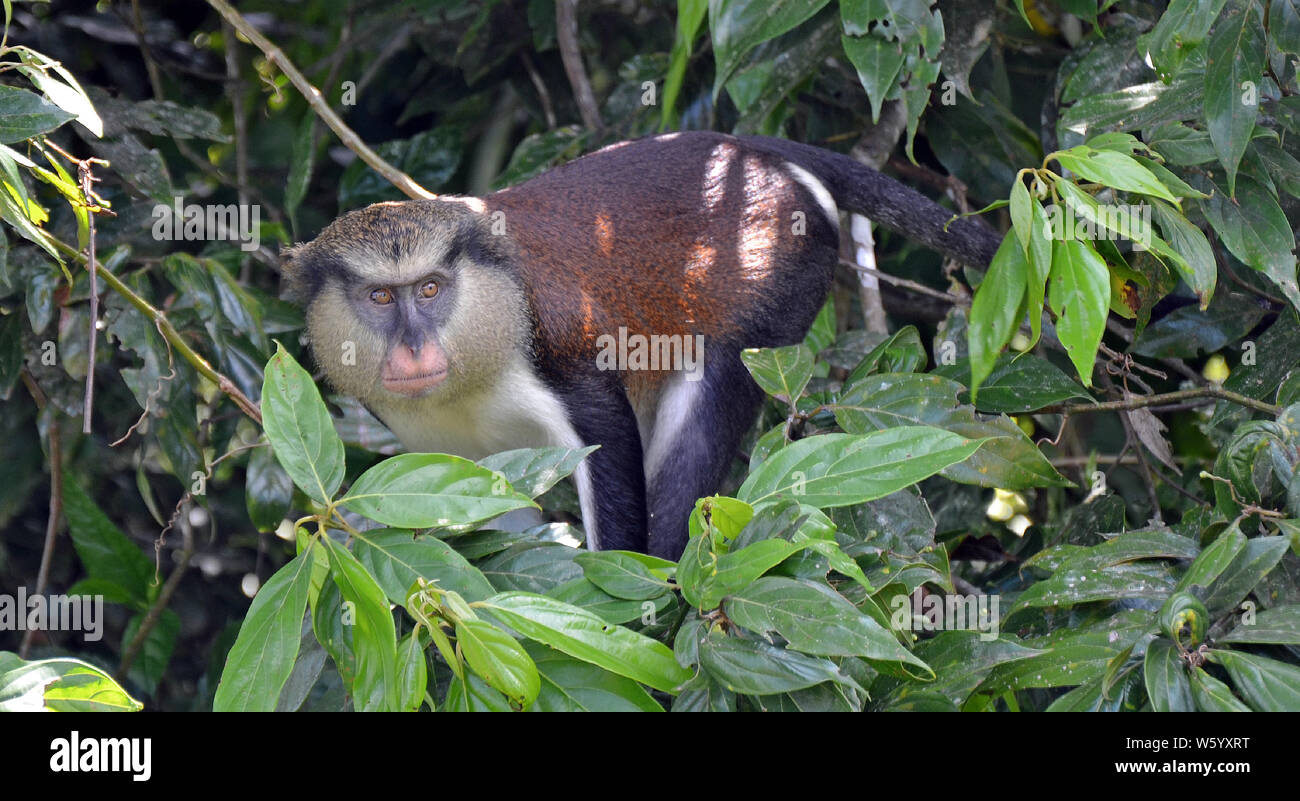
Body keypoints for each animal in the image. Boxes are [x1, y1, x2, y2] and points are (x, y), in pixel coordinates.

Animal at [279, 131, 998, 556]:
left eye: (430, 289)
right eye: (380, 297)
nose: (412, 348)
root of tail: (752, 152)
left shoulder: (560, 354)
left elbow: (610, 449)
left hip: (780, 279)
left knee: (713, 392)